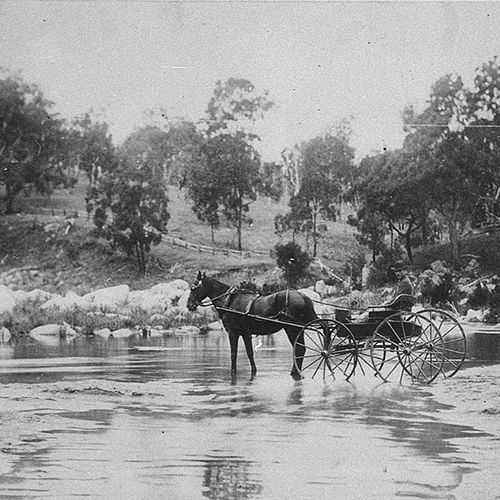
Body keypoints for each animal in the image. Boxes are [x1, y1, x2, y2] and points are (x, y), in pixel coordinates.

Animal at [186, 272, 318, 380]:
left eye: (193, 288)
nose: (189, 305)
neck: (230, 300)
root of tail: (303, 296)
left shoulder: (234, 333)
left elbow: (235, 354)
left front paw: (236, 372)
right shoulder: (245, 334)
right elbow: (248, 353)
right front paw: (253, 371)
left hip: (292, 328)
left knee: (299, 349)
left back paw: (295, 372)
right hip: (297, 329)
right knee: (301, 349)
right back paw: (296, 372)